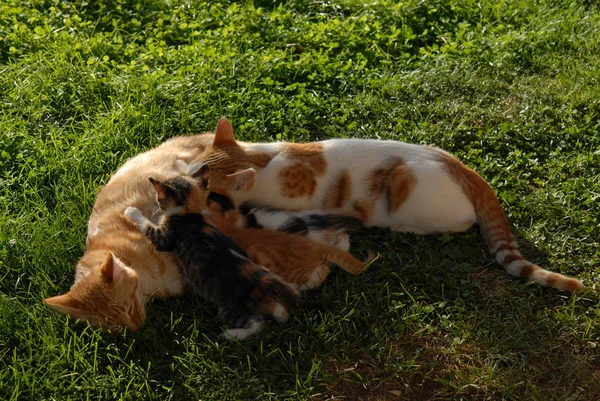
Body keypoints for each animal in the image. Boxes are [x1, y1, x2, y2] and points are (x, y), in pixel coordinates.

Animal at [125, 176, 300, 340]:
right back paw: (279, 312)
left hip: (229, 308)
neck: (191, 212)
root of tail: (253, 276)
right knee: (278, 311)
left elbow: (149, 228)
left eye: (159, 197)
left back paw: (232, 335)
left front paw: (132, 212)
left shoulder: (166, 236)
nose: (156, 202)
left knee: (257, 325)